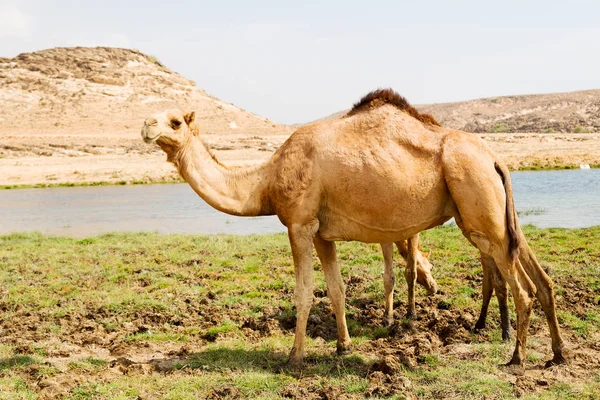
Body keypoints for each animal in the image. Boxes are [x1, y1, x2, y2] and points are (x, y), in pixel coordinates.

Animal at [142, 89, 568, 370]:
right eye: (156, 116)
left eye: (175, 121)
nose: (146, 124)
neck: (264, 181)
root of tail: (495, 157)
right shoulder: (320, 232)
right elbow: (336, 289)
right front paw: (344, 347)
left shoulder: (299, 223)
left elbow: (304, 292)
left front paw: (295, 356)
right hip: (492, 211)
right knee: (540, 277)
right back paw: (557, 355)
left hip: (478, 202)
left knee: (522, 288)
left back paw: (516, 357)